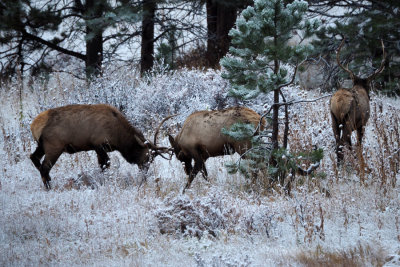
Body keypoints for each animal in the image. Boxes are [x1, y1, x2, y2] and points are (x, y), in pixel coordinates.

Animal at [30, 103, 174, 189]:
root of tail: (34, 125)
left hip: (42, 146)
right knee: (44, 167)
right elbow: (106, 164)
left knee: (33, 157)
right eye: (147, 157)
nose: (144, 176)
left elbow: (102, 165)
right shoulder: (98, 144)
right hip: (54, 147)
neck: (119, 137)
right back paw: (49, 187)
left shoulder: (98, 148)